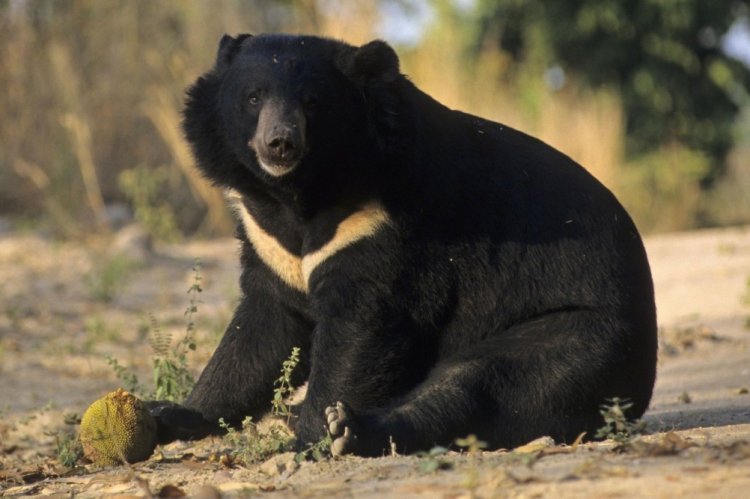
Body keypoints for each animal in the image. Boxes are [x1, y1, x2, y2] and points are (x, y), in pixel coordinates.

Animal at [157, 33, 656, 458]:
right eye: (253, 97)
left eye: (312, 102)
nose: (279, 143)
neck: (299, 191)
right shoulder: (267, 239)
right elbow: (262, 329)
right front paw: (176, 413)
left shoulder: (384, 222)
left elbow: (362, 326)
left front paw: (311, 437)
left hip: (582, 332)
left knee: (484, 382)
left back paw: (350, 429)